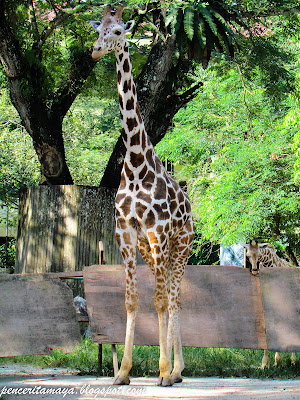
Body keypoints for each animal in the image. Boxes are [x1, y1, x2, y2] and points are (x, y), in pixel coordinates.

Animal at [89, 5, 195, 388]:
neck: (135, 164)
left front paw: (163, 370)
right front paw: (122, 372)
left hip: (180, 246)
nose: (95, 51)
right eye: (99, 28)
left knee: (175, 298)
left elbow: (161, 301)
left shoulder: (157, 231)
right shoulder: (126, 232)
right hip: (153, 252)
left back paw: (176, 371)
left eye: (119, 31)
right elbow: (133, 300)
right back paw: (174, 371)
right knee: (168, 295)